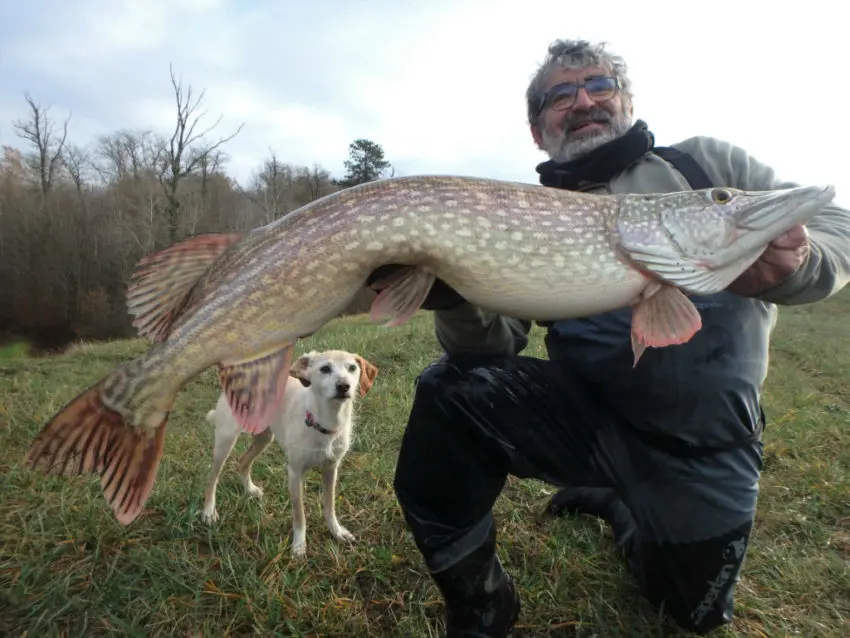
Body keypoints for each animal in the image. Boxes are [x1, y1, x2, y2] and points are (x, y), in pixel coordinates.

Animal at [199, 352, 378, 556]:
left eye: (352, 368)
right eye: (325, 368)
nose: (343, 386)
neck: (324, 422)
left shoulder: (331, 469)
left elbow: (329, 506)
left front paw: (336, 531)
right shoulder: (295, 472)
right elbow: (299, 515)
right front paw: (299, 545)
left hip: (264, 437)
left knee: (243, 461)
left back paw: (250, 489)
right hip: (226, 439)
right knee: (212, 477)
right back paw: (209, 511)